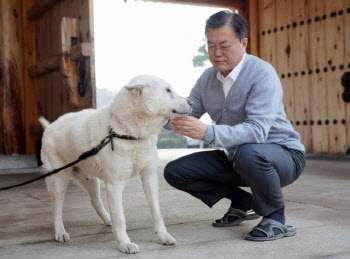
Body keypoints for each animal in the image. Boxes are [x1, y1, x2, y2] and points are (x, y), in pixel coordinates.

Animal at [39, 74, 193, 254]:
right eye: (168, 90)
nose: (191, 102)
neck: (128, 132)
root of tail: (50, 125)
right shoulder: (115, 184)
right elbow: (120, 219)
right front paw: (124, 244)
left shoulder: (149, 177)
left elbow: (156, 212)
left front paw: (163, 236)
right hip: (59, 180)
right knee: (56, 208)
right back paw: (60, 232)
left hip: (91, 180)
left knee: (95, 202)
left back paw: (107, 219)